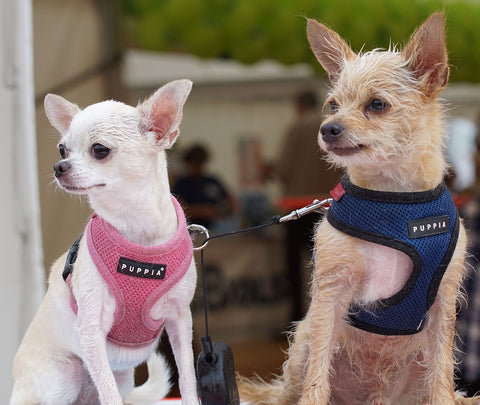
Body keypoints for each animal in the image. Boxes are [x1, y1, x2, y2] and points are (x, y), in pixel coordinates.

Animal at [240, 12, 480, 404]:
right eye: (333, 105)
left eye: (377, 105)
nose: (328, 129)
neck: (393, 200)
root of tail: (375, 396)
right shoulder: (331, 293)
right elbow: (318, 373)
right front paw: (313, 398)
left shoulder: (444, 301)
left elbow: (442, 372)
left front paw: (445, 398)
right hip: (302, 343)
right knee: (291, 388)